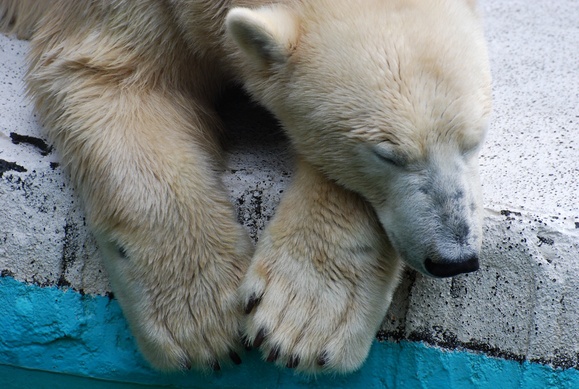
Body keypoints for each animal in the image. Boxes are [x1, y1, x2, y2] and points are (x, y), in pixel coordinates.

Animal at [0, 0, 492, 374]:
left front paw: (299, 323)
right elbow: (111, 81)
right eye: (387, 154)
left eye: (474, 140)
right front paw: (202, 321)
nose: (455, 259)